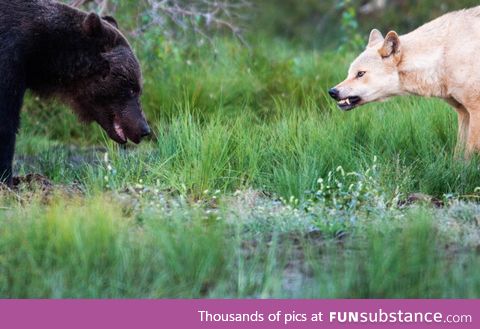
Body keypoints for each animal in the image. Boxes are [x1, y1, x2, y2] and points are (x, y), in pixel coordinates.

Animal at [0, 0, 150, 184]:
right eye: (131, 89)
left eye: (138, 88)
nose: (144, 129)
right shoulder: (10, 59)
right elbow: (7, 122)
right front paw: (7, 178)